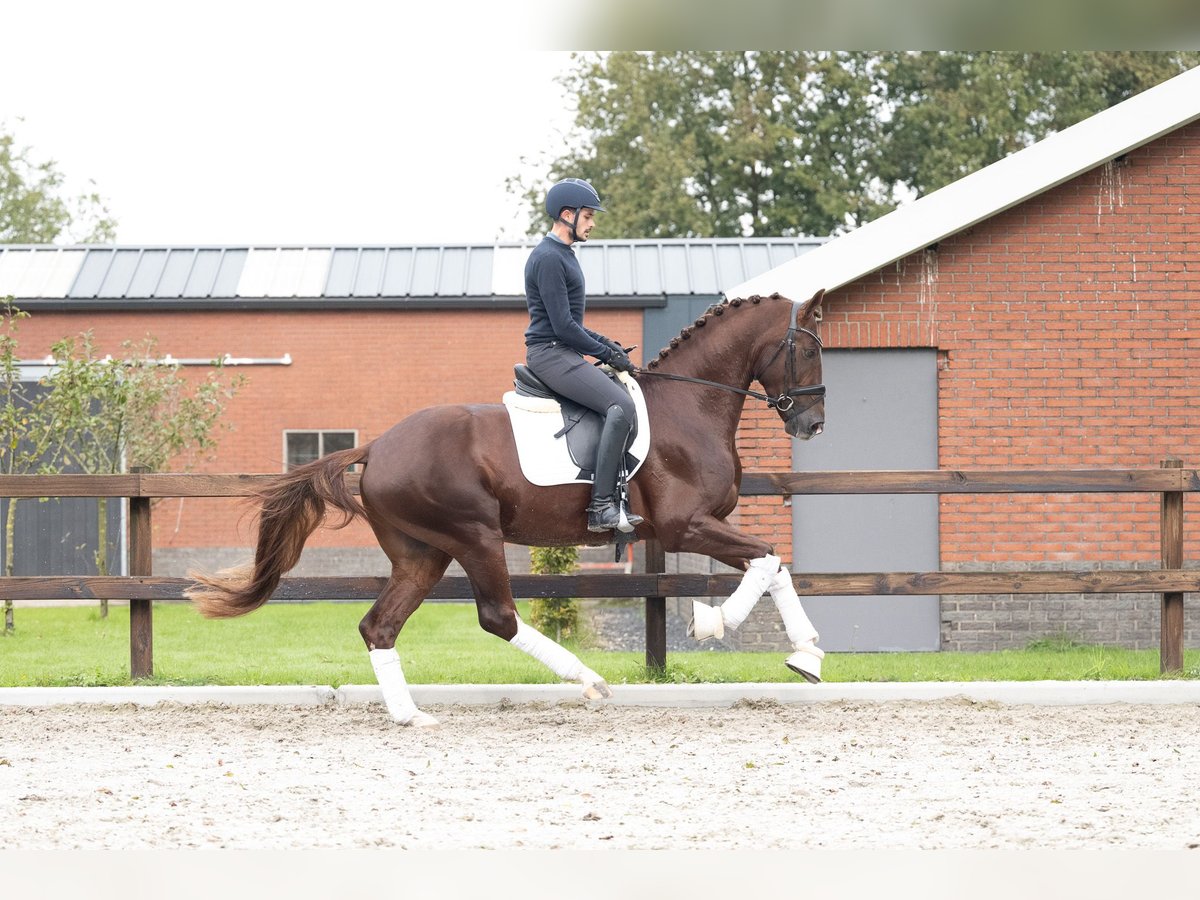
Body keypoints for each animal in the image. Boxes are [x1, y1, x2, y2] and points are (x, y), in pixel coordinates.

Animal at [187, 289, 830, 724]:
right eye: (806, 349)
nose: (813, 424)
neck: (689, 406)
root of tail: (378, 445)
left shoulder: (699, 527)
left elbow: (772, 565)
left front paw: (806, 657)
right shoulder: (682, 527)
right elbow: (768, 560)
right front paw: (714, 622)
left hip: (421, 554)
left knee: (380, 625)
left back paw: (411, 715)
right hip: (474, 536)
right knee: (498, 617)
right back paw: (587, 680)